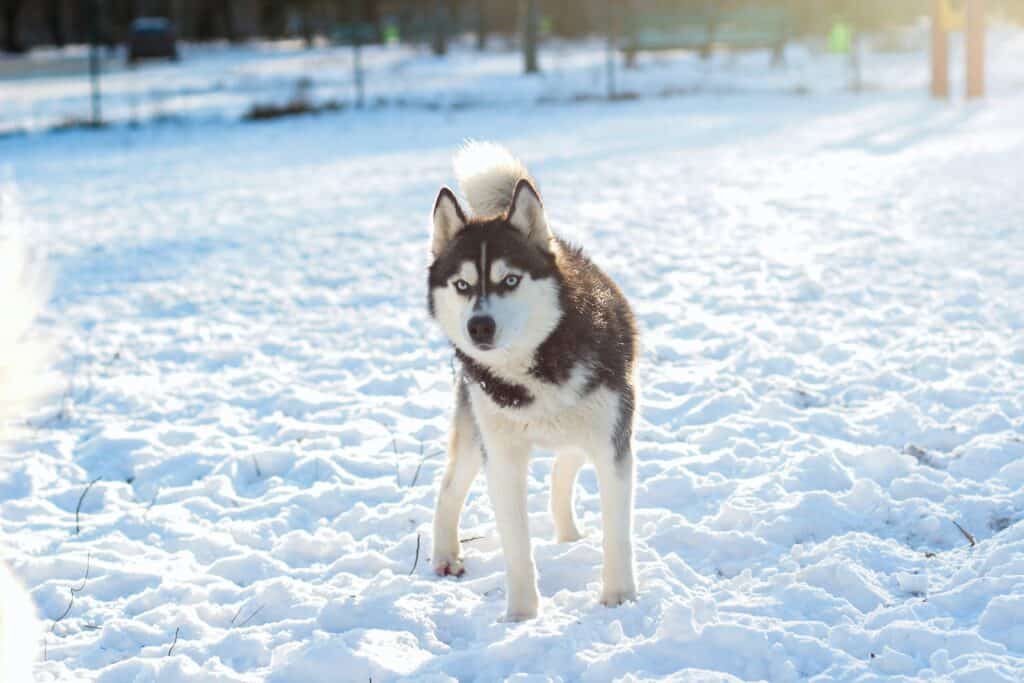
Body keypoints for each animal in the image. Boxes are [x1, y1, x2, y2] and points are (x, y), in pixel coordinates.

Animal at [425, 141, 634, 622]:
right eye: (462, 285)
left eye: (510, 279)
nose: (479, 326)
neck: (535, 367)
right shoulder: (502, 458)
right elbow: (517, 548)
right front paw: (521, 615)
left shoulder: (612, 443)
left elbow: (616, 533)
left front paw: (619, 598)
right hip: (475, 430)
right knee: (449, 487)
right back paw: (446, 555)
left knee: (564, 467)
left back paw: (568, 534)